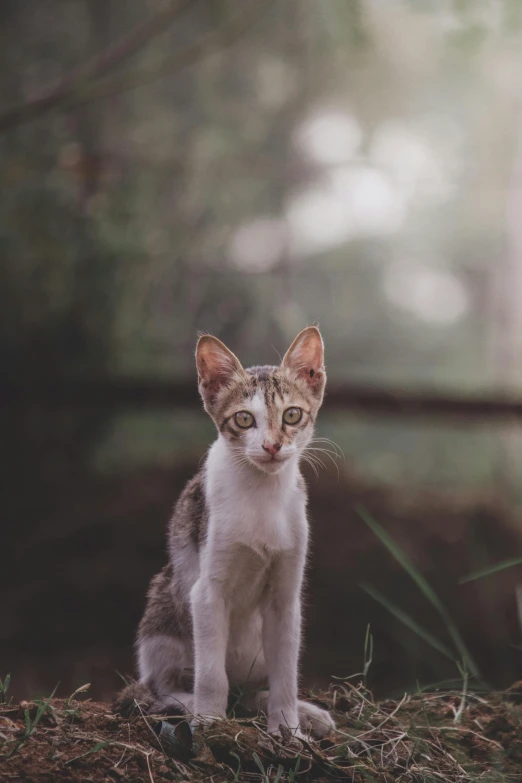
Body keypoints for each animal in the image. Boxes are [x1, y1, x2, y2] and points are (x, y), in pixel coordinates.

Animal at [113, 326, 334, 740]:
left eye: (292, 415)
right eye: (244, 419)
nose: (272, 445)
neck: (261, 494)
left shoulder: (286, 597)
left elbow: (286, 673)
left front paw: (288, 727)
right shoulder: (206, 590)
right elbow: (211, 674)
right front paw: (210, 721)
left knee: (249, 690)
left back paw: (300, 711)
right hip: (163, 610)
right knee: (160, 686)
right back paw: (188, 704)